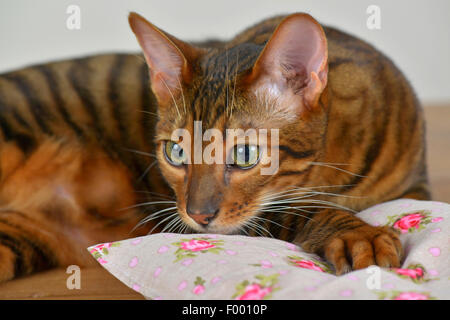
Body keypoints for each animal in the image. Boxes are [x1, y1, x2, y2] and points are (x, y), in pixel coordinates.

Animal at [0, 12, 428, 282]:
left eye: (244, 155)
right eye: (175, 153)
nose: (197, 215)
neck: (334, 172)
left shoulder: (414, 188)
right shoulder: (248, 222)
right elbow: (300, 210)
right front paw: (356, 234)